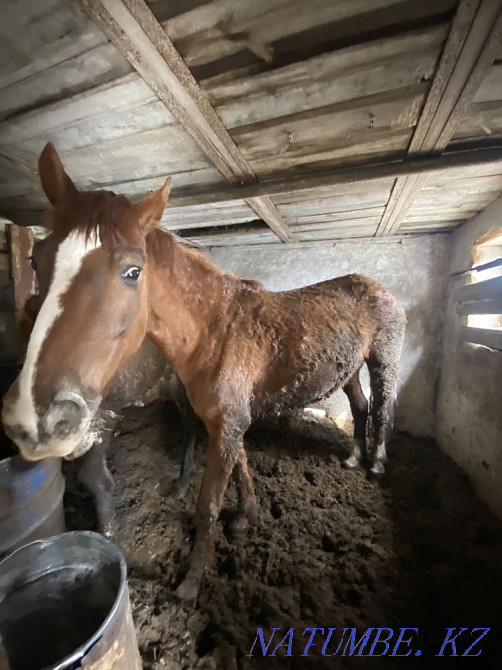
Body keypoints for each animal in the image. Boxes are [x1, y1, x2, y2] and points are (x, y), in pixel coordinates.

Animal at [2, 143, 406, 600]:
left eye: (132, 271)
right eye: (36, 259)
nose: (35, 420)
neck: (216, 331)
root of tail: (380, 289)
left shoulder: (227, 422)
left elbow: (207, 502)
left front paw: (192, 581)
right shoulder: (226, 420)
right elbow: (241, 466)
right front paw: (246, 518)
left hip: (383, 361)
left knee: (383, 408)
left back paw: (376, 464)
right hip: (349, 370)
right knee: (359, 407)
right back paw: (354, 457)